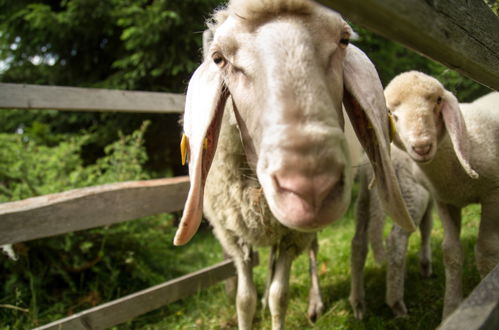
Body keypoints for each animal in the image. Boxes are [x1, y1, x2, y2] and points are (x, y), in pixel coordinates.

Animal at [177, 1, 418, 328]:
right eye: (218, 58)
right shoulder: (233, 236)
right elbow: (244, 300)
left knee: (312, 251)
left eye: (344, 40)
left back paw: (315, 302)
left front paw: (276, 304)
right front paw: (253, 305)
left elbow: (280, 297)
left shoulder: (293, 235)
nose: (312, 188)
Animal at [348, 146, 434, 320]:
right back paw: (396, 303)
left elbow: (426, 226)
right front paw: (425, 265)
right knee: (396, 240)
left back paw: (358, 302)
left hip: (364, 200)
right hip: (411, 196)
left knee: (358, 244)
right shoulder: (430, 198)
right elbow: (427, 228)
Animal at [384, 71, 499, 318]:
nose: (422, 146)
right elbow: (451, 252)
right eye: (390, 112)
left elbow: (485, 251)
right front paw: (452, 309)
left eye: (437, 101)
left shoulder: (493, 194)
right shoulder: (443, 200)